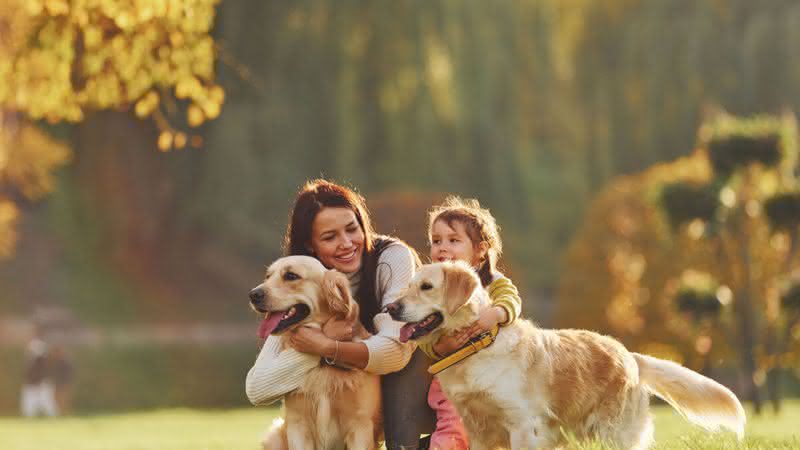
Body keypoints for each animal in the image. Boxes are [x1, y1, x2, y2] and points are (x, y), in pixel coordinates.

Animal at [248, 256, 382, 450]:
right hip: (274, 435)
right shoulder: (298, 425)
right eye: (268, 276)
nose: (253, 295)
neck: (322, 366)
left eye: (291, 275)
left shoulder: (360, 426)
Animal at [386, 262, 744, 448]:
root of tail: (629, 354)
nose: (390, 307)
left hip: (613, 434)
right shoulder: (478, 431)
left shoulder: (523, 426)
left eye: (427, 287)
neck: (478, 343)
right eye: (409, 286)